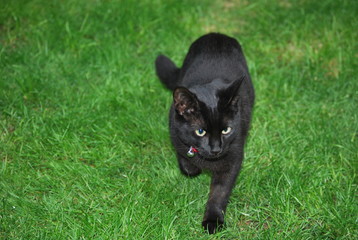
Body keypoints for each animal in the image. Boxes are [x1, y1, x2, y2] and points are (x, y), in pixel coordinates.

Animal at [154, 32, 255, 233]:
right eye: (200, 131)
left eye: (226, 130)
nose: (216, 149)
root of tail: (216, 34)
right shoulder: (175, 133)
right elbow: (186, 162)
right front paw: (193, 167)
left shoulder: (233, 158)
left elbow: (219, 192)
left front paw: (213, 220)